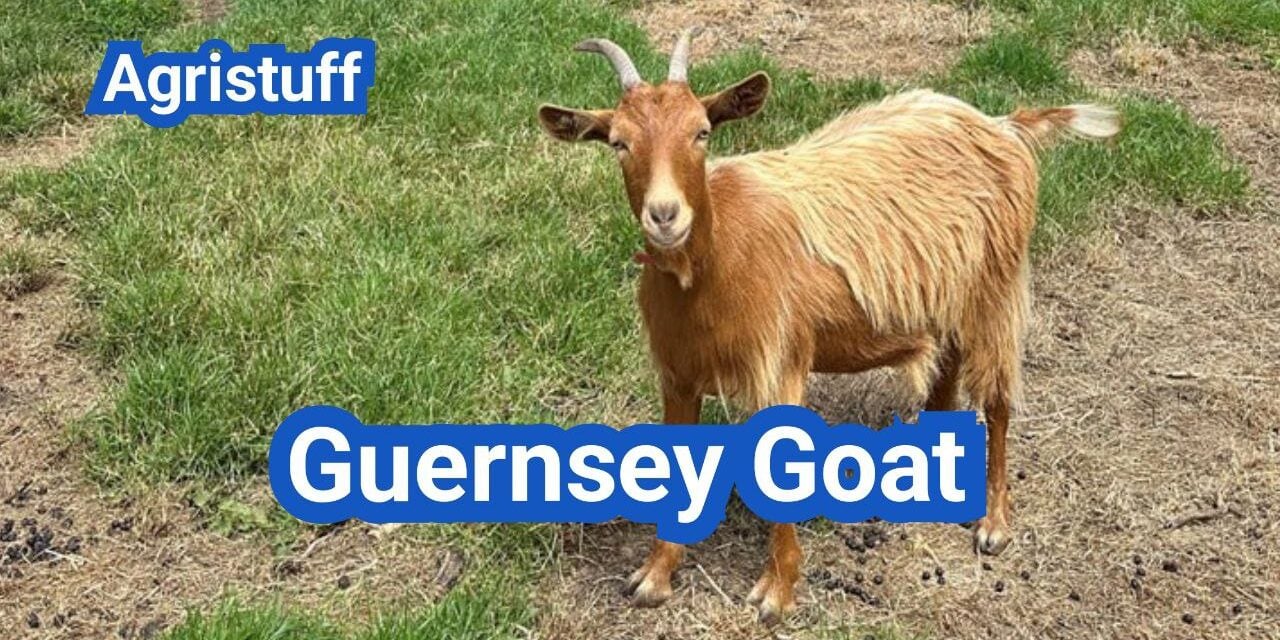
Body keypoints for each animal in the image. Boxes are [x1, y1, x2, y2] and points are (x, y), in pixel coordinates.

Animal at [537, 29, 1119, 623]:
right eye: (618, 143)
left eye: (702, 131)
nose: (665, 215)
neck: (712, 267)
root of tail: (1003, 125)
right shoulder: (677, 372)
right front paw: (655, 575)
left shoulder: (779, 363)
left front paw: (777, 592)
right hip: (946, 294)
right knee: (947, 369)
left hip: (994, 289)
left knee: (998, 402)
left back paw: (994, 523)